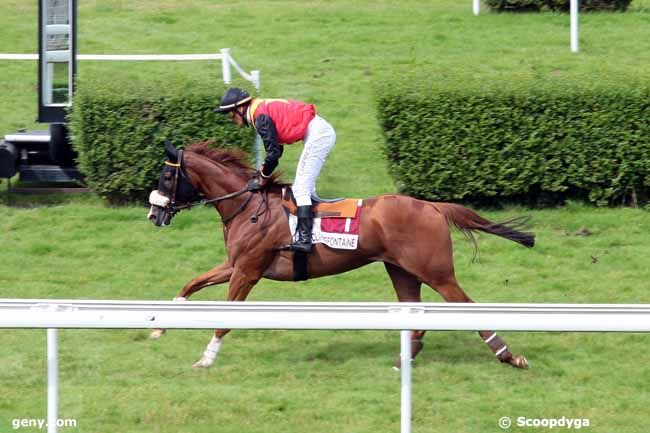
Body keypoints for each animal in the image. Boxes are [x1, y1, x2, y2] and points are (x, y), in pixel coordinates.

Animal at [147, 142, 532, 368]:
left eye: (166, 175)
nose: (154, 214)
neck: (248, 207)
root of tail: (433, 206)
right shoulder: (235, 264)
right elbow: (192, 282)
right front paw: (160, 326)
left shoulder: (248, 270)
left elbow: (225, 318)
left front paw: (206, 358)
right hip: (401, 270)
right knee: (416, 311)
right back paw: (406, 358)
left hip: (436, 272)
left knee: (466, 306)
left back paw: (508, 355)